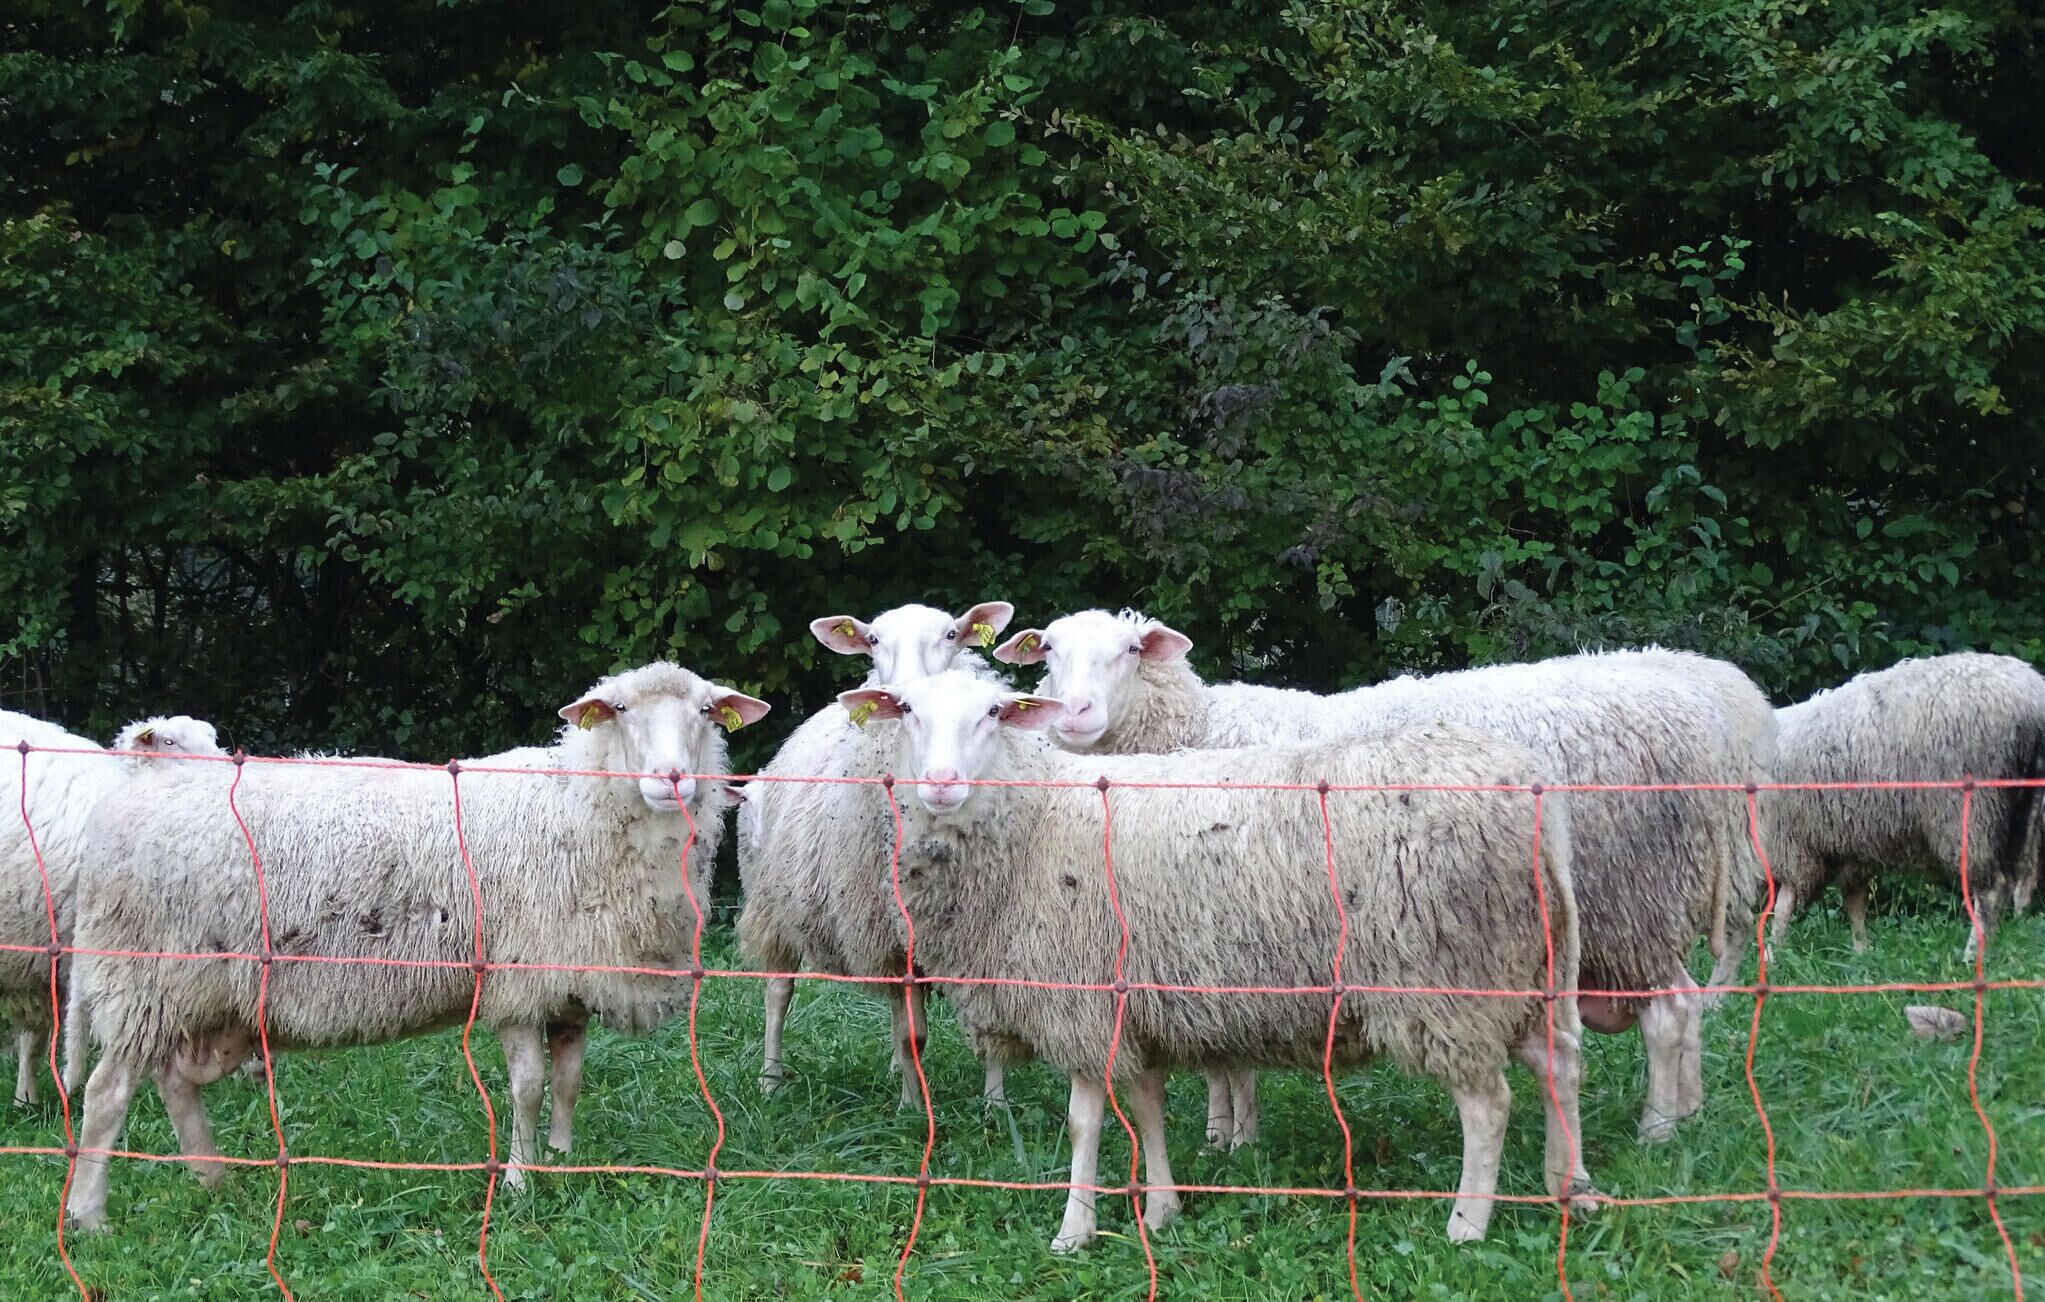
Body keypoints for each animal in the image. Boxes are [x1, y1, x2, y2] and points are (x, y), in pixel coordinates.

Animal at [60, 662, 768, 1231]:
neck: (575, 805)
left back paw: (212, 1180)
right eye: (619, 710)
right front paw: (519, 1181)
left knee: (176, 1080)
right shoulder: (515, 980)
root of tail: (130, 794)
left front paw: (562, 1161)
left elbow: (569, 1082)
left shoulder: (567, 978)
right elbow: (530, 1088)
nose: (671, 778)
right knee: (106, 1094)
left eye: (707, 711)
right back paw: (90, 1217)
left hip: (196, 995)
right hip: (145, 974)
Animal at [736, 600, 1014, 1103]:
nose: (902, 691)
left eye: (950, 634)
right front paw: (911, 1106)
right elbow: (913, 1036)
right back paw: (770, 1080)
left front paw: (996, 1103)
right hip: (773, 904)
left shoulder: (984, 933)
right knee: (778, 992)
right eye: (874, 639)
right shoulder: (887, 937)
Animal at [838, 670, 1596, 1251]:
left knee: (1488, 1104)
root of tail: (1527, 788)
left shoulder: (1083, 999)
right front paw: (1161, 1210)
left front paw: (1074, 1229)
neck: (1033, 819)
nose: (940, 783)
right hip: (1524, 967)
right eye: (907, 710)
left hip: (1446, 978)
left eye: (994, 713)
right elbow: (1146, 1108)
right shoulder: (1138, 1002)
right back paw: (1569, 1190)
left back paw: (1468, 1224)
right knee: (1559, 1066)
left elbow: (1085, 1122)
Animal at [996, 611, 1776, 1146]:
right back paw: (1687, 1111)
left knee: (1668, 1011)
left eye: (1129, 651)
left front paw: (1232, 1135)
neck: (1196, 728)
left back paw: (1656, 1129)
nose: (1075, 715)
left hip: (1627, 900)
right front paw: (1224, 1130)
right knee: (1680, 1007)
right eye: (1050, 651)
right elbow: (1217, 1048)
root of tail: (1705, 720)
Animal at [1765, 652, 2045, 958]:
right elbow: (1854, 899)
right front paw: (1862, 952)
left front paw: (1771, 953)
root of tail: (2032, 697)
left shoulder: (1793, 842)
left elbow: (1785, 902)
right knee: (2015, 884)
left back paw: (1971, 955)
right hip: (2022, 814)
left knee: (1992, 888)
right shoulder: (1847, 841)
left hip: (1970, 811)